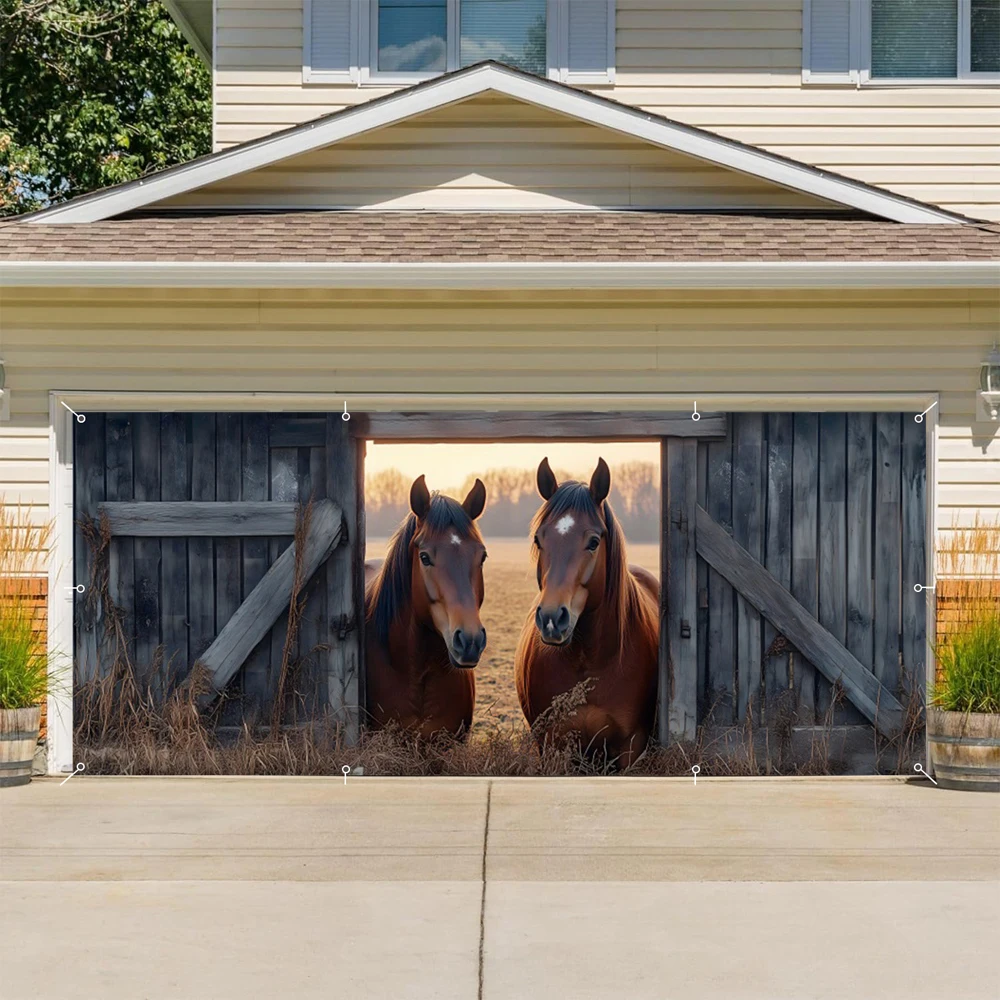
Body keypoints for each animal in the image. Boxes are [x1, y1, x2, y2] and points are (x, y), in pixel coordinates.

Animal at [520, 458, 660, 768]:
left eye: (593, 541)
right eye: (538, 540)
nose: (551, 620)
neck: (588, 661)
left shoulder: (632, 747)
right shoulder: (552, 745)